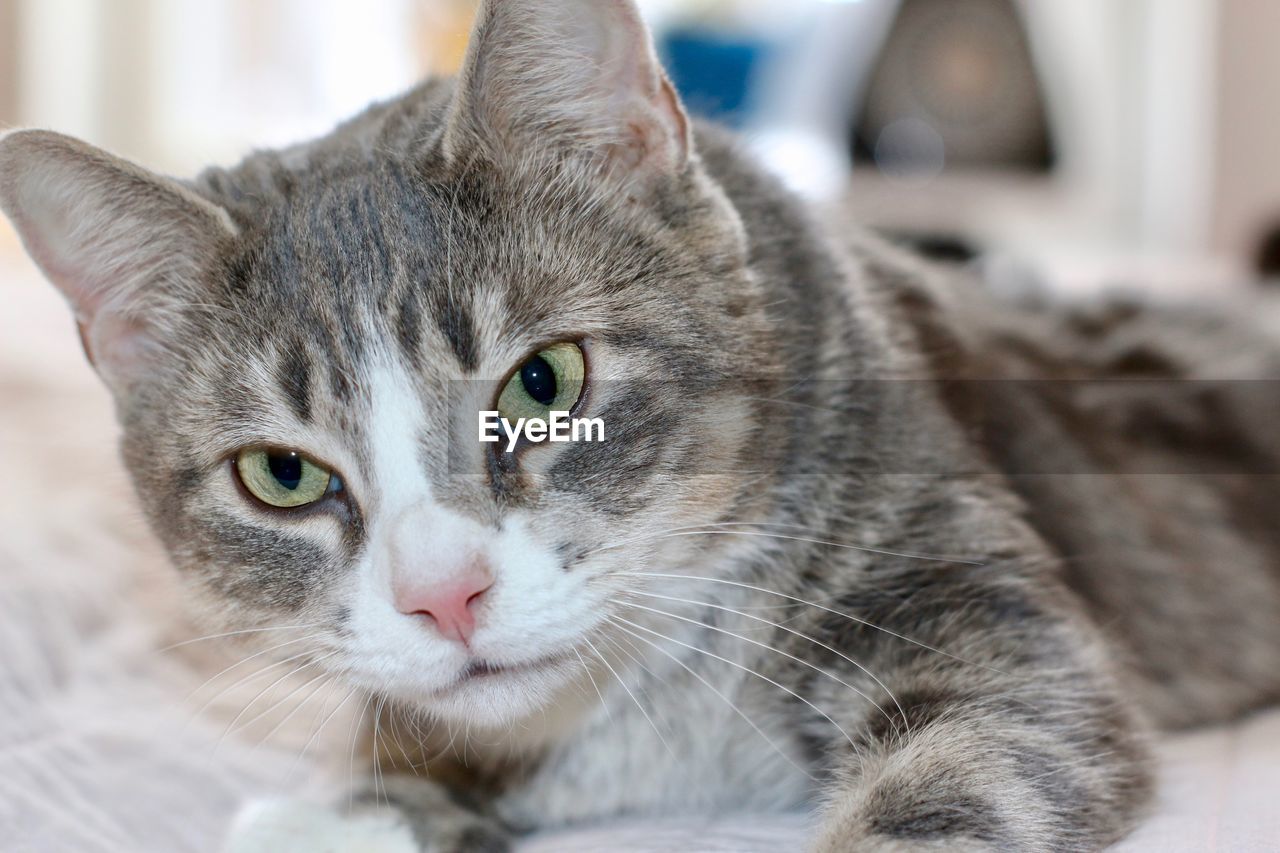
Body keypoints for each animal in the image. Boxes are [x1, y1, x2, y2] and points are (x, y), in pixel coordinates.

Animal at [2, 1, 1280, 850]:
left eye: (542, 382)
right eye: (279, 473)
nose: (443, 596)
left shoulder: (966, 600)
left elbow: (980, 752)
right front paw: (351, 807)